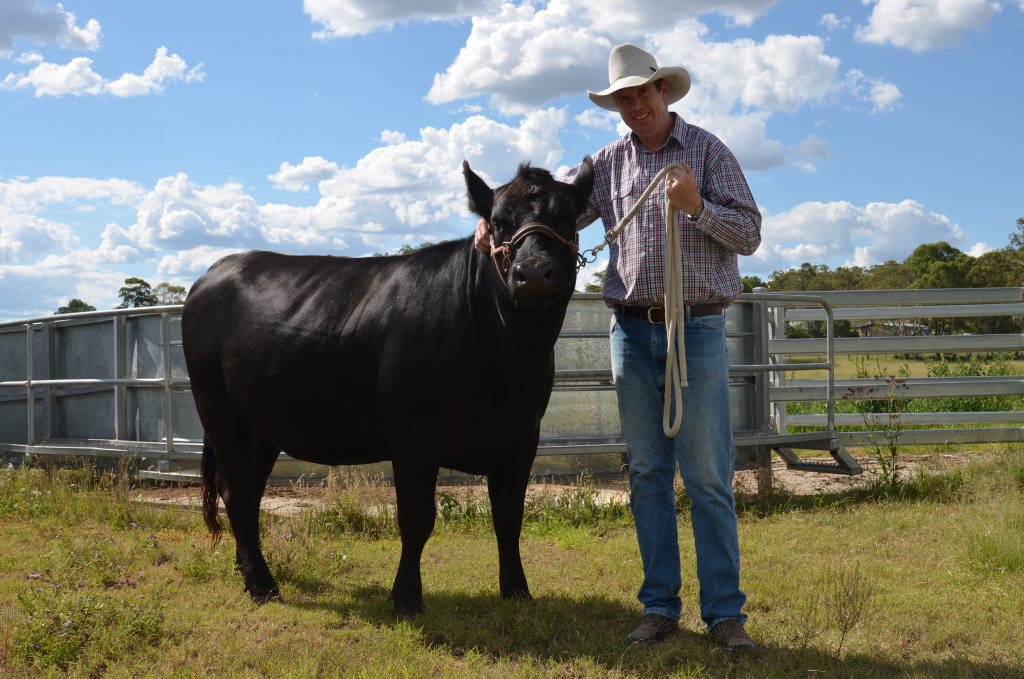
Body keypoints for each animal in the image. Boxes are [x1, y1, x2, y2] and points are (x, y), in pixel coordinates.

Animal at [181, 157, 594, 617]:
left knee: (251, 492)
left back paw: (247, 568)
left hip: (261, 424)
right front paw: (407, 598)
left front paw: (517, 592)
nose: (533, 273)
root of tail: (215, 271)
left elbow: (508, 517)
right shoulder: (414, 435)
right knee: (236, 491)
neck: (508, 363)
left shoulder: (523, 436)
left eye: (566, 216)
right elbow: (416, 519)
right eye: (499, 222)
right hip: (218, 409)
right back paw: (261, 584)